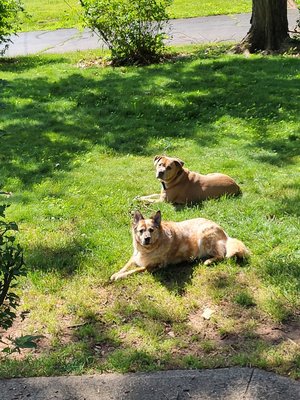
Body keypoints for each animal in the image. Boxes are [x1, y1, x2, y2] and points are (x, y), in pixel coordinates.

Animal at [109, 209, 248, 282]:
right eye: (141, 231)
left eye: (151, 230)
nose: (146, 239)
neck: (147, 250)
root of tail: (224, 233)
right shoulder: (134, 257)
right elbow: (126, 266)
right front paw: (116, 273)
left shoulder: (152, 266)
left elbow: (134, 270)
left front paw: (120, 276)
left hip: (203, 236)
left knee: (221, 255)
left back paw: (208, 261)